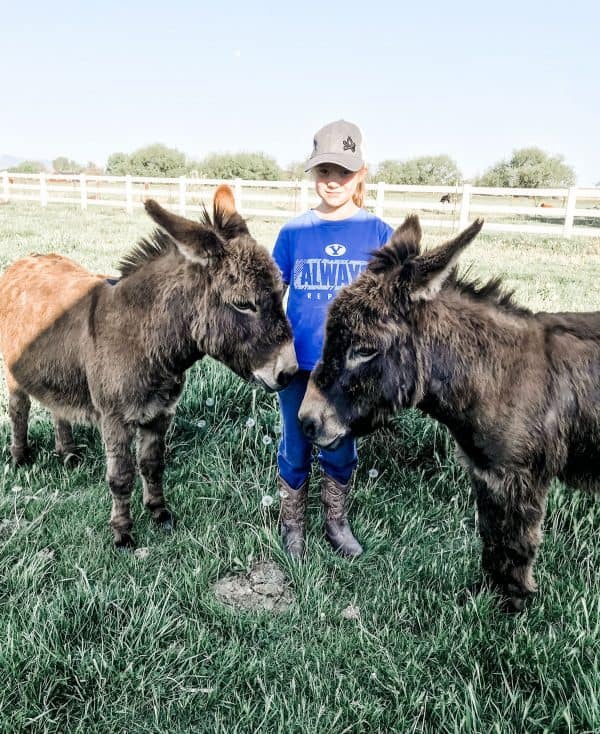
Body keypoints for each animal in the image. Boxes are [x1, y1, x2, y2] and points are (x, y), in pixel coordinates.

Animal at [0, 187, 298, 548]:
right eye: (243, 304)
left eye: (282, 292)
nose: (289, 372)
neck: (144, 340)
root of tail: (24, 260)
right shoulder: (115, 418)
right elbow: (120, 476)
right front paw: (123, 533)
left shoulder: (160, 413)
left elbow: (153, 465)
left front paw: (159, 513)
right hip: (13, 372)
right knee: (19, 409)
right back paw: (19, 457)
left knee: (59, 407)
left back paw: (67, 453)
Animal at [300, 216, 600, 612]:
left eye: (364, 350)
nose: (305, 420)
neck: (497, 376)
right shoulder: (484, 472)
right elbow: (491, 538)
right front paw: (487, 598)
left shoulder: (518, 478)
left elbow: (515, 545)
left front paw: (511, 608)